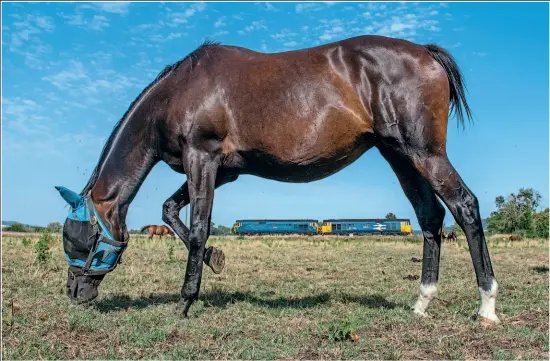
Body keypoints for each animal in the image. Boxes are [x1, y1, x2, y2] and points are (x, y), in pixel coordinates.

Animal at [55, 35, 500, 324]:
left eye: (83, 240)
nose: (74, 293)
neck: (178, 92)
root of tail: (425, 53)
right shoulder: (225, 172)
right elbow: (169, 211)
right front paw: (216, 259)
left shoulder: (203, 159)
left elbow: (197, 228)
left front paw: (184, 302)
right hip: (400, 156)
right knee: (430, 218)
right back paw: (422, 302)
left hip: (425, 154)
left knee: (465, 206)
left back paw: (487, 305)